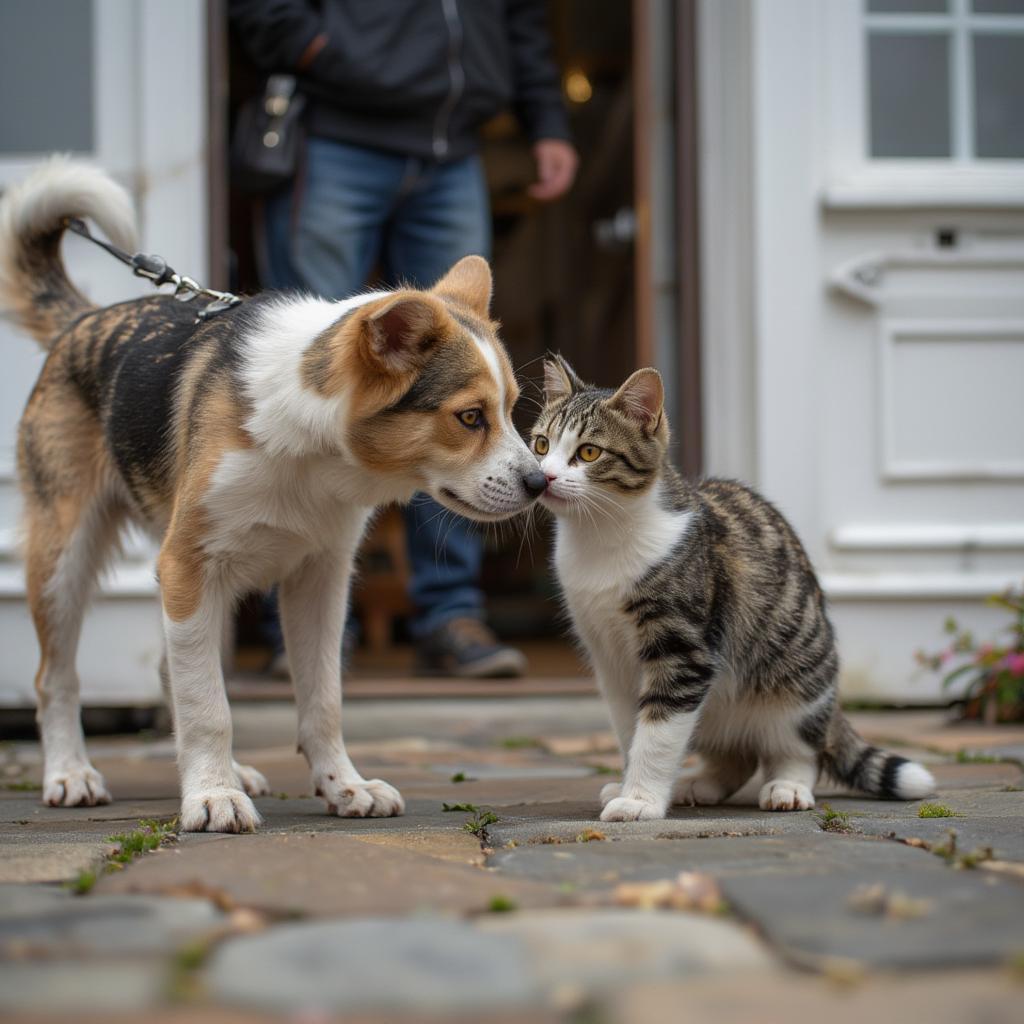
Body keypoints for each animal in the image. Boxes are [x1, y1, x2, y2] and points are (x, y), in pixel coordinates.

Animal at [0, 159, 548, 831]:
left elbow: (322, 699)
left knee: (171, 670)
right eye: (470, 418)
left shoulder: (320, 580)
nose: (540, 483)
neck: (311, 457)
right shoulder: (188, 566)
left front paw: (343, 785)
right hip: (65, 559)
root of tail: (84, 321)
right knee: (56, 678)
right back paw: (71, 773)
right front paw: (210, 796)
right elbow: (209, 706)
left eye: (510, 409)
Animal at [536, 356, 937, 819]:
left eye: (588, 452)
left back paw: (788, 786)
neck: (600, 538)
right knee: (739, 757)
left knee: (800, 747)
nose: (544, 477)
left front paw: (640, 800)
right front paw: (628, 785)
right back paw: (701, 783)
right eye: (541, 444)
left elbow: (657, 731)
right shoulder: (609, 659)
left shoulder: (684, 649)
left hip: (796, 685)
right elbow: (628, 728)